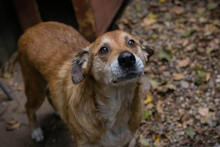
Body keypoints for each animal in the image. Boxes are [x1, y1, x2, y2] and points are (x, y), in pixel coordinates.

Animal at [17, 21, 153, 146]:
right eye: (103, 49)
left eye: (131, 42)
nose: (127, 58)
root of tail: (31, 28)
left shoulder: (129, 141)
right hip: (35, 88)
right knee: (28, 107)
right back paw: (36, 131)